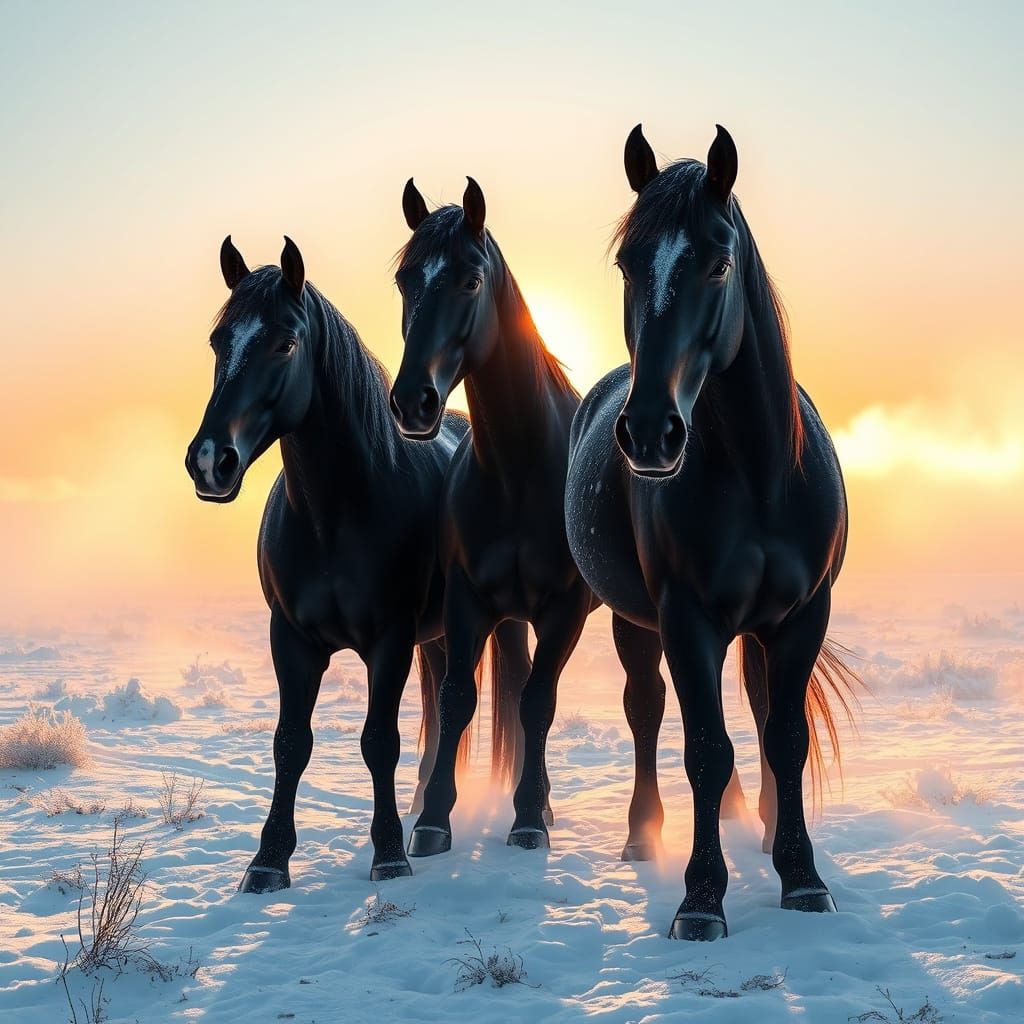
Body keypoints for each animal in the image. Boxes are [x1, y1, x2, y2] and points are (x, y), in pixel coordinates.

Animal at [186, 236, 496, 888]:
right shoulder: (290, 639)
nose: (209, 460)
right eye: (219, 342)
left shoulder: (389, 640)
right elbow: (289, 743)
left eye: (284, 343)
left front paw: (390, 854)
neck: (334, 520)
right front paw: (268, 861)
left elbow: (379, 740)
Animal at [388, 178, 597, 855]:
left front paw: (528, 820)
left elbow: (538, 703)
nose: (413, 401)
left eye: (471, 280)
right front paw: (431, 821)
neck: (518, 471)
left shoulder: (564, 609)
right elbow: (458, 699)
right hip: (507, 617)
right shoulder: (469, 600)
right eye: (405, 280)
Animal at [565, 125, 859, 940]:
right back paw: (644, 836)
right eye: (628, 263)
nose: (650, 433)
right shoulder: (684, 617)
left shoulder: (801, 617)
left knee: (755, 712)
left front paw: (802, 879)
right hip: (635, 623)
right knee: (645, 711)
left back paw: (758, 826)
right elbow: (702, 748)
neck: (760, 476)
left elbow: (782, 737)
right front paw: (700, 899)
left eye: (719, 263)